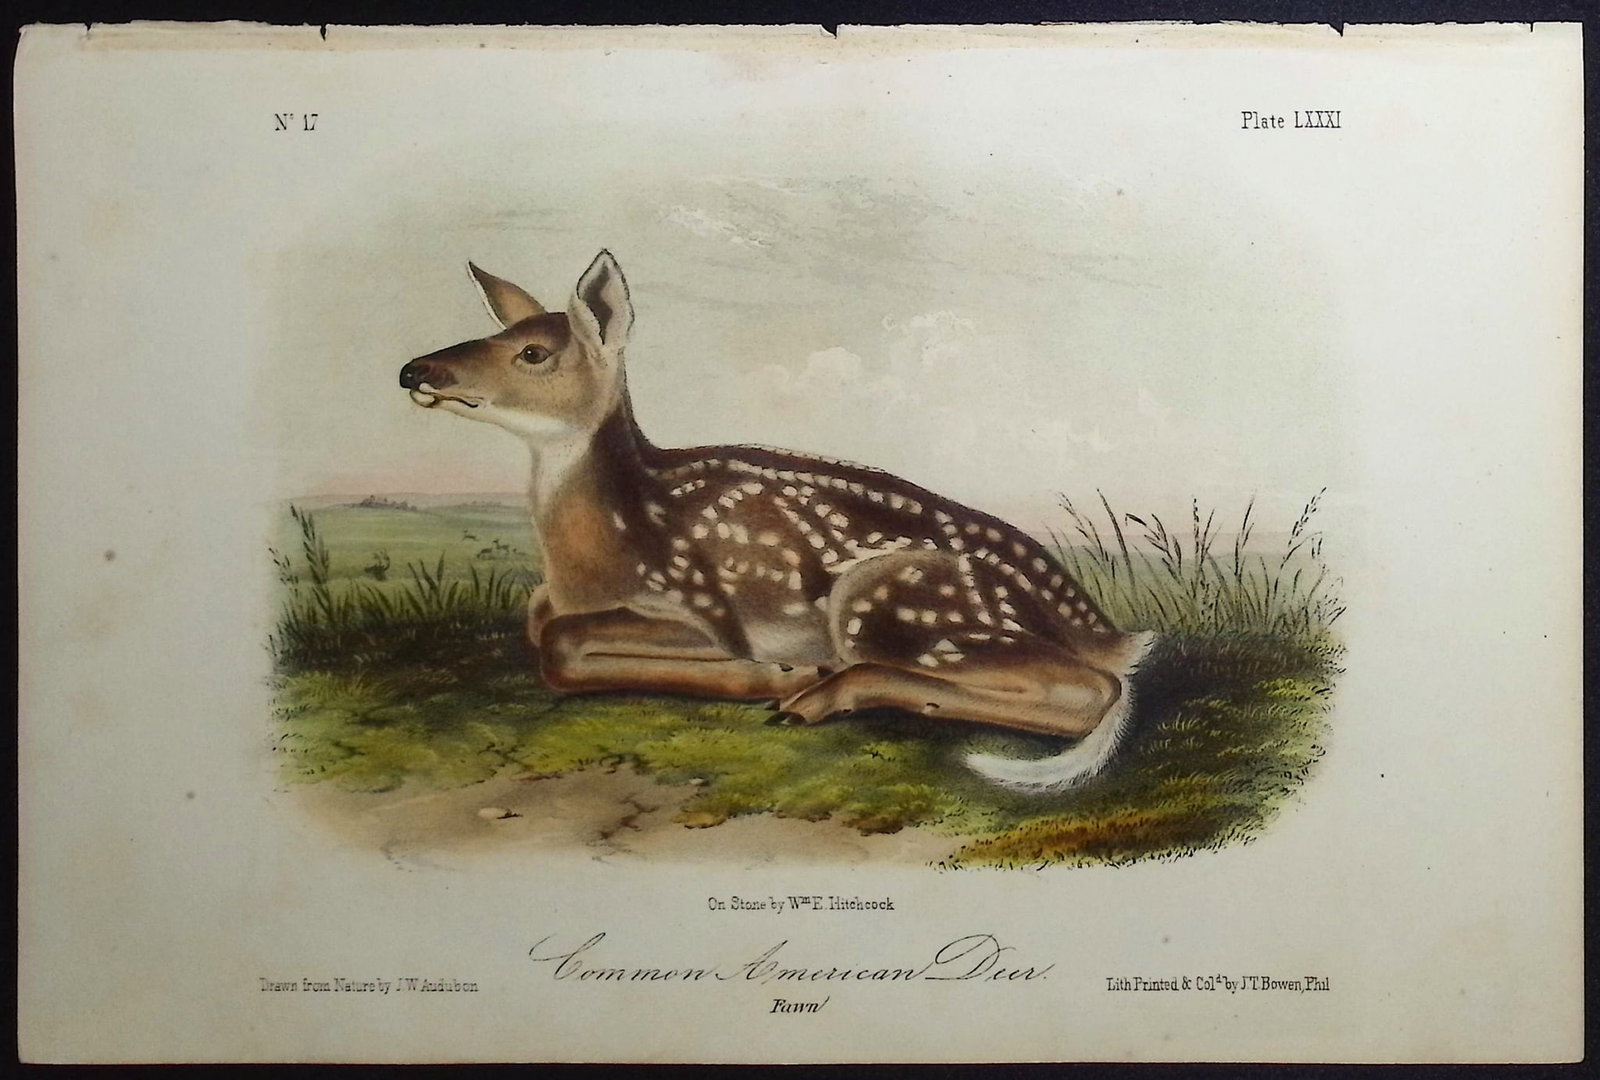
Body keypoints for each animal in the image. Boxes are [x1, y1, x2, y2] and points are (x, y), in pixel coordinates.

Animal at [398, 251, 1155, 791]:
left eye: (534, 353)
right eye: (496, 332)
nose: (415, 370)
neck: (588, 564)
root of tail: (1104, 629)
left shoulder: (701, 605)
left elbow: (560, 642)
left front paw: (770, 674)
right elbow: (538, 621)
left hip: (890, 602)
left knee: (1096, 690)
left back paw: (812, 689)